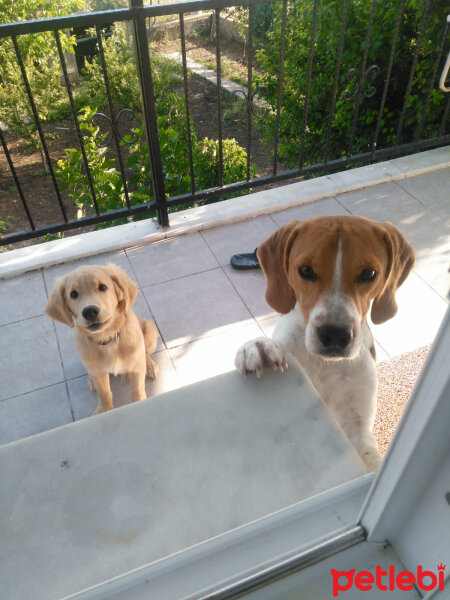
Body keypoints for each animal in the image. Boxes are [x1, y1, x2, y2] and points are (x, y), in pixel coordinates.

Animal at [45, 264, 158, 414]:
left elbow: (137, 390)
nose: (89, 312)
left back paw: (150, 366)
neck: (107, 339)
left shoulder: (136, 370)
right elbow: (104, 393)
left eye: (102, 287)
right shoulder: (98, 372)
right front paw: (104, 410)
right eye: (73, 294)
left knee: (144, 354)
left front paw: (139, 402)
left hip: (150, 330)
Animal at [236, 213, 414, 472]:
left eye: (369, 274)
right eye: (306, 270)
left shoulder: (355, 425)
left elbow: (370, 456)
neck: (324, 364)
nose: (335, 335)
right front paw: (259, 346)